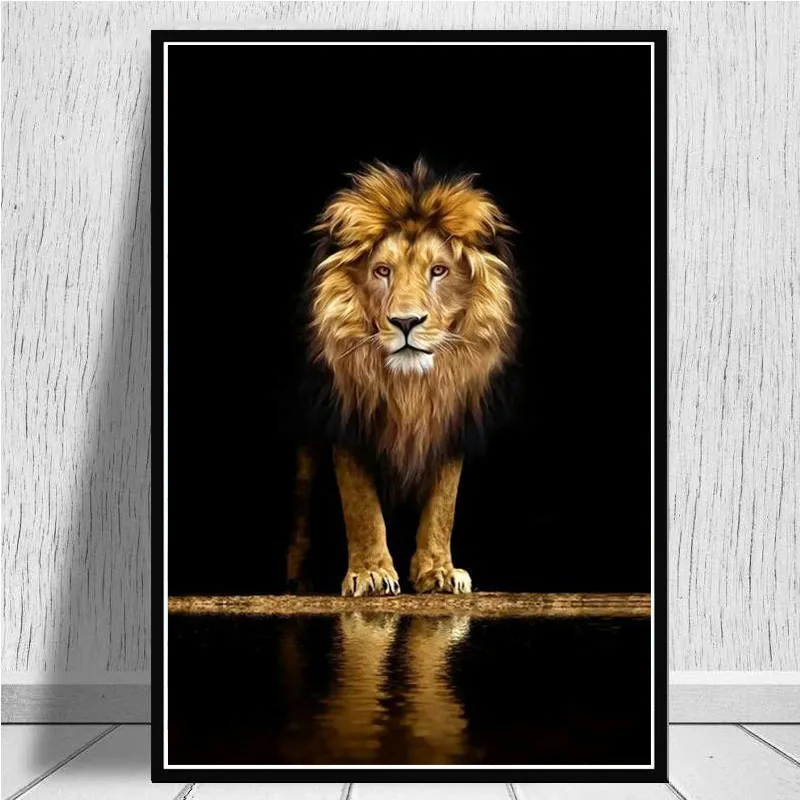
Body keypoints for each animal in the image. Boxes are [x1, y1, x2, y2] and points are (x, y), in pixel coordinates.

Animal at [288, 158, 520, 597]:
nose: (406, 322)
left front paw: (439, 571)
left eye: (439, 271)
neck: (409, 387)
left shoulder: (450, 420)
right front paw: (371, 573)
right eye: (382, 271)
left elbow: (443, 505)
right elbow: (360, 505)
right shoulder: (348, 420)